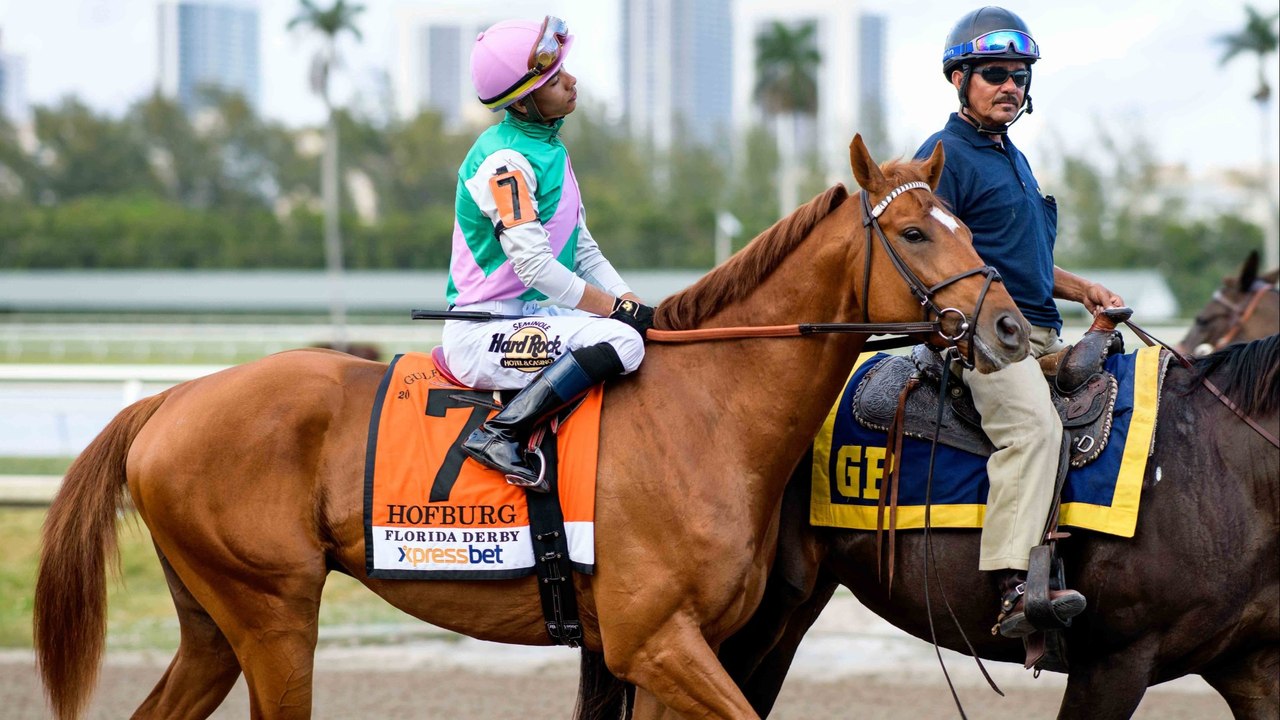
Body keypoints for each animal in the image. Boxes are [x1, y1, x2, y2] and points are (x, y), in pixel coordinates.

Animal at [33, 135, 1030, 720]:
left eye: (964, 224)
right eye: (915, 235)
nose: (1013, 329)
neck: (708, 412)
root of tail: (168, 402)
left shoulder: (670, 652)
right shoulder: (653, 640)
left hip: (214, 624)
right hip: (274, 616)